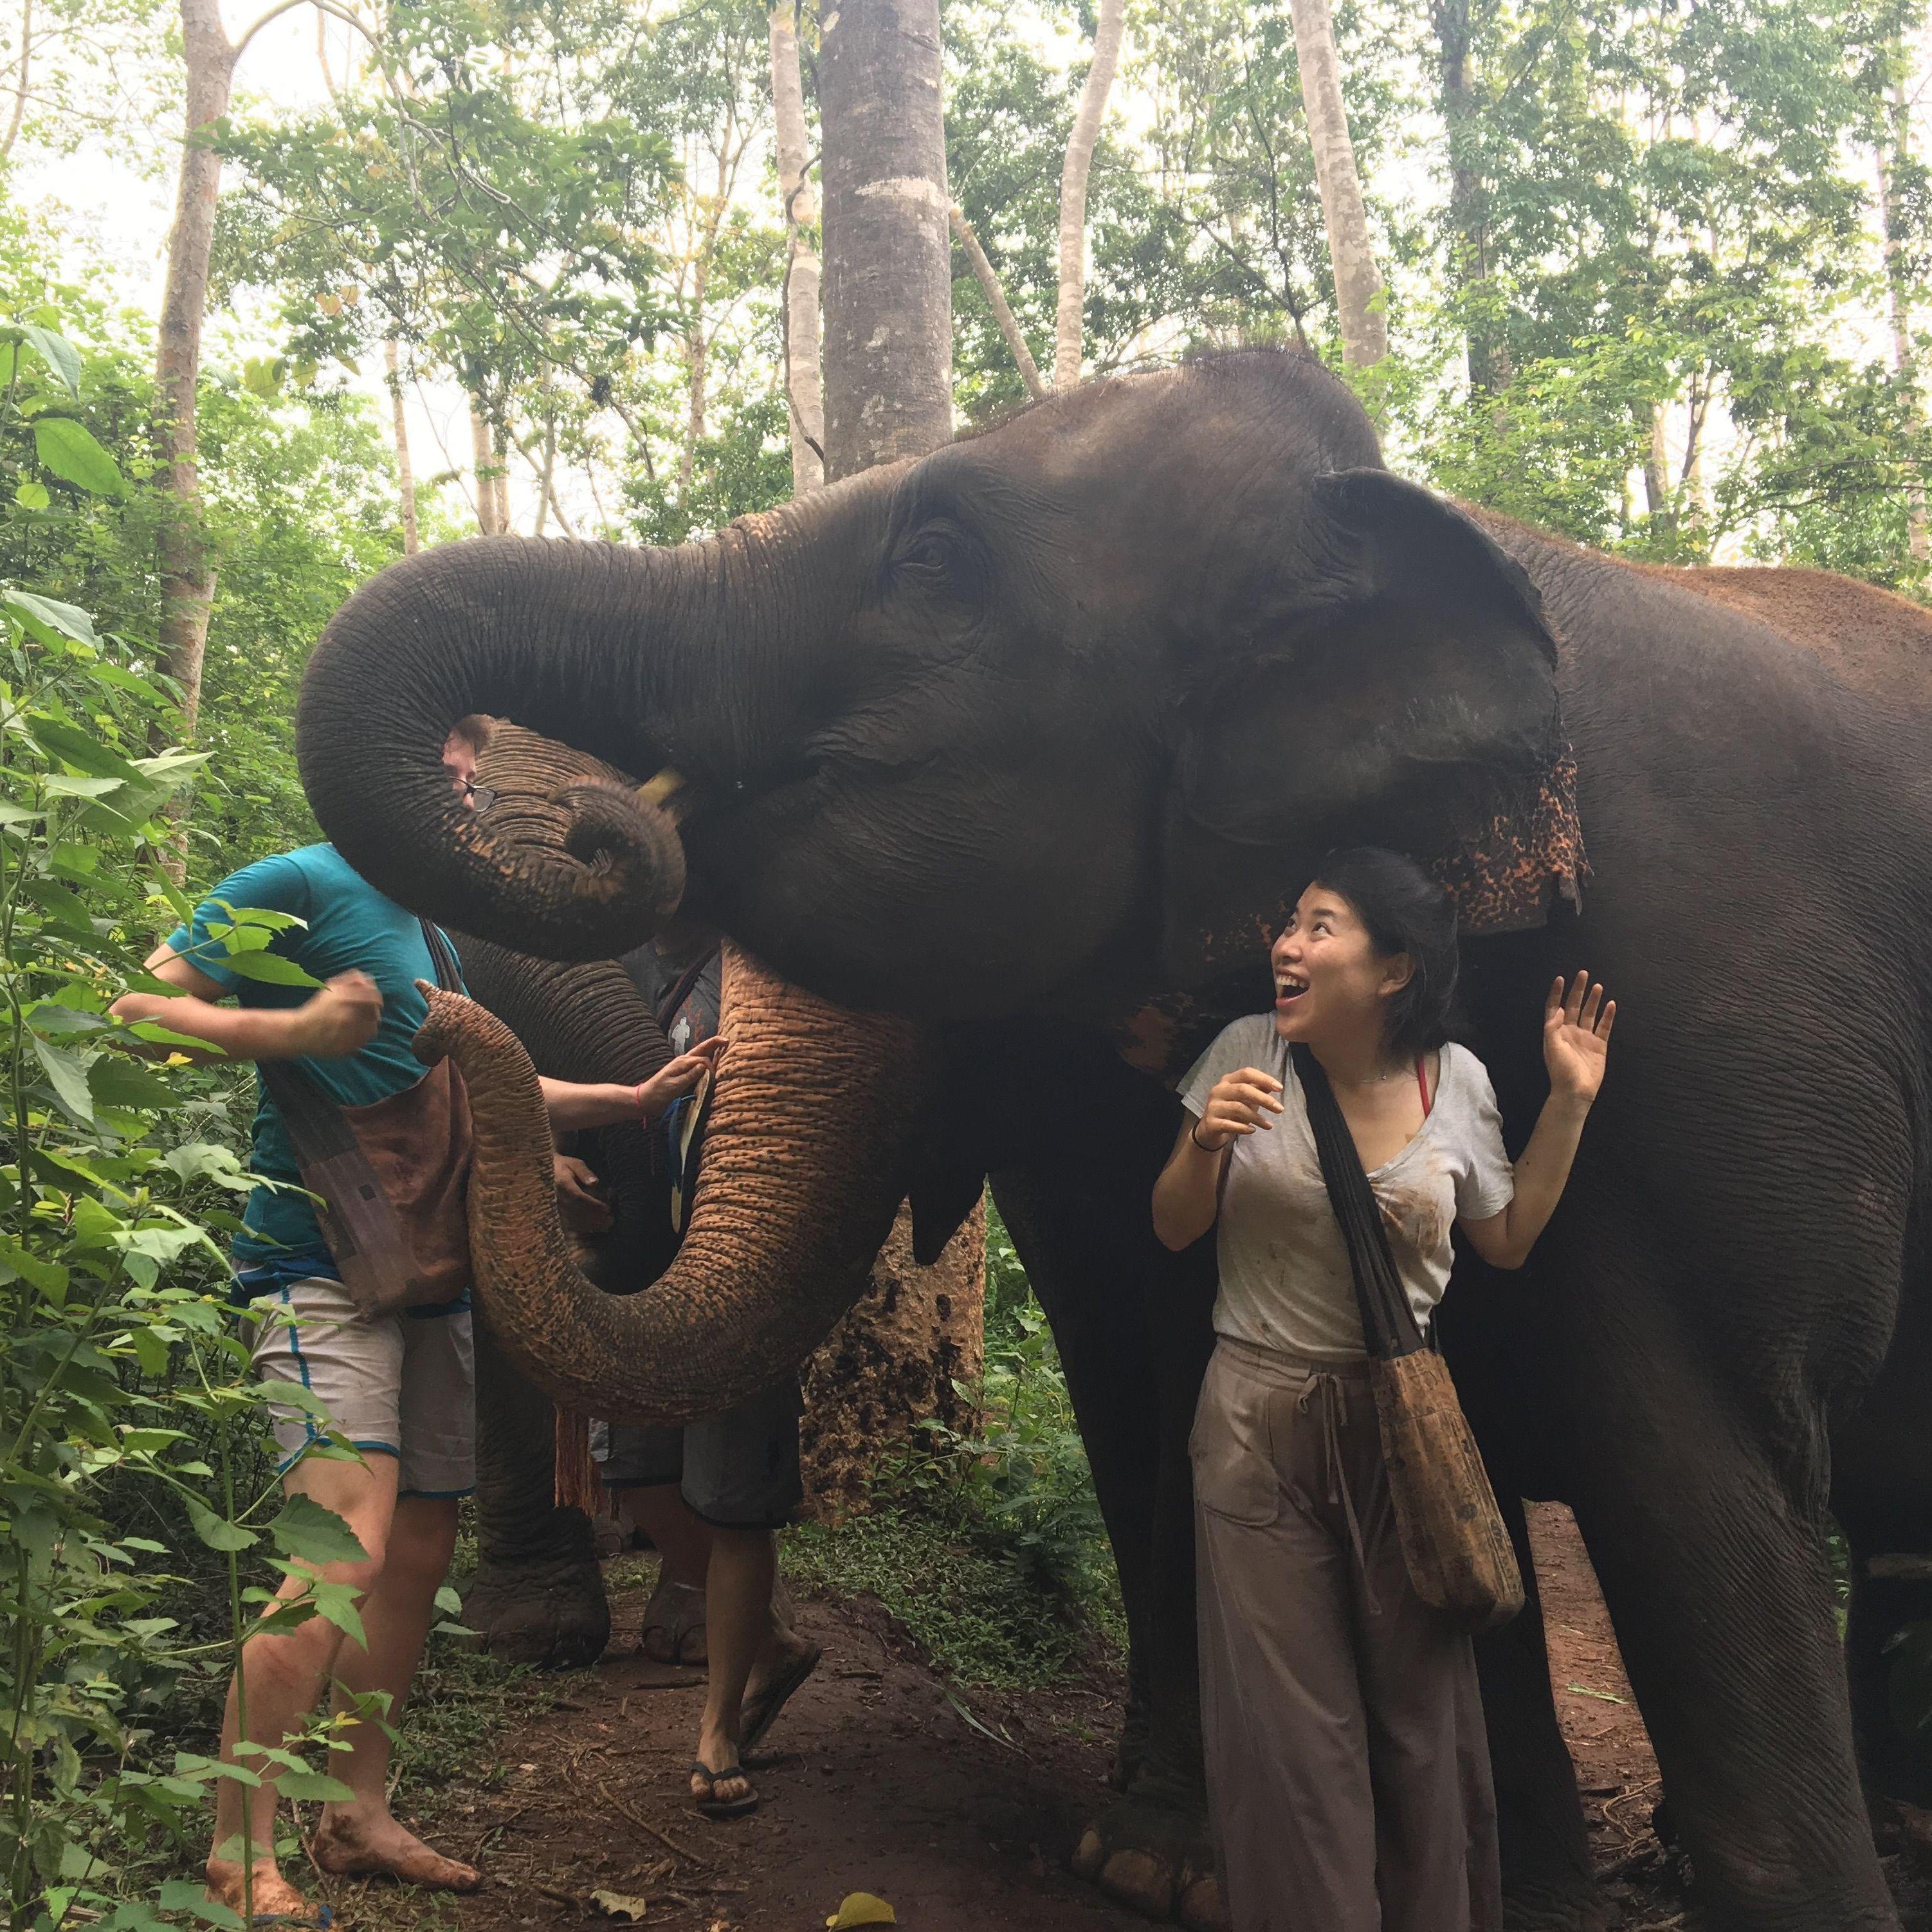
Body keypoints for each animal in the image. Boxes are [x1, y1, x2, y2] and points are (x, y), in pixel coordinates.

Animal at [289, 351, 1932, 1932]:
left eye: (935, 557)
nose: (605, 829)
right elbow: (1152, 1359)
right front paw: (1172, 1868)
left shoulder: (1709, 988)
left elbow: (1690, 1455)